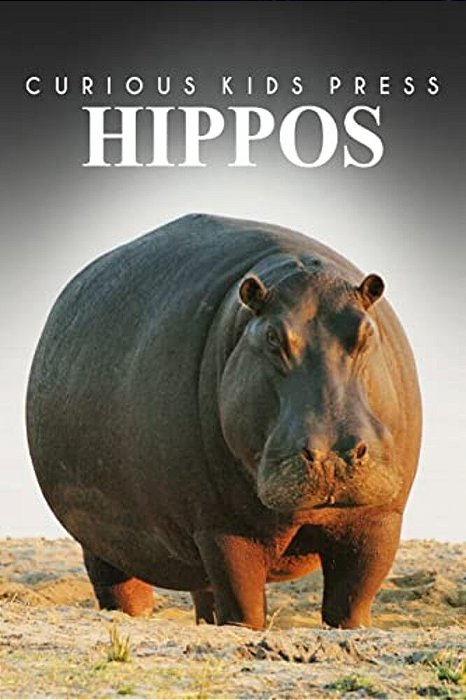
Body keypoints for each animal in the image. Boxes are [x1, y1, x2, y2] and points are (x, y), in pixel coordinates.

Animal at [26, 213, 422, 629]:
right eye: (272, 337)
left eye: (366, 331)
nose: (331, 455)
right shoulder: (224, 530)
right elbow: (243, 607)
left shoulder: (379, 522)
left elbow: (351, 605)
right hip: (104, 542)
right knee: (123, 589)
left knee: (204, 596)